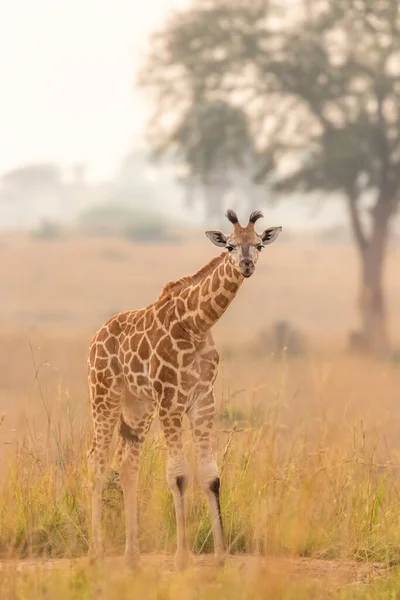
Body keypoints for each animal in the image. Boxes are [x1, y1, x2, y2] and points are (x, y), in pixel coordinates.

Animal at [86, 209, 282, 568]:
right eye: (230, 245)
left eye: (259, 244)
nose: (247, 265)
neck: (197, 324)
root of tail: (96, 337)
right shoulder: (170, 400)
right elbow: (177, 474)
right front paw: (182, 557)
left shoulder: (203, 401)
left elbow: (211, 475)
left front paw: (221, 556)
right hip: (104, 394)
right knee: (97, 459)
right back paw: (96, 552)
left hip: (137, 406)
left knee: (127, 464)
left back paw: (132, 555)